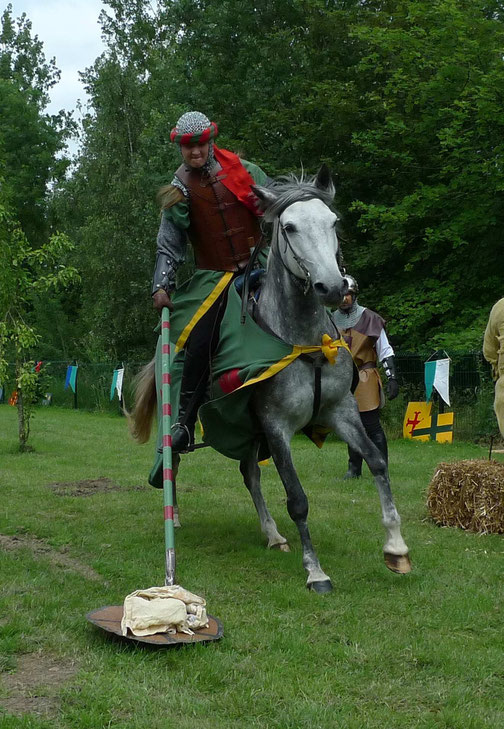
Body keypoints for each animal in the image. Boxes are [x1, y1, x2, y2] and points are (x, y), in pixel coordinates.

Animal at [132, 166, 412, 592]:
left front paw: (396, 547)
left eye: (333, 222)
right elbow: (297, 497)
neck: (304, 343)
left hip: (247, 429)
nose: (333, 287)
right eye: (290, 227)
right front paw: (315, 571)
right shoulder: (276, 425)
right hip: (185, 415)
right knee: (171, 461)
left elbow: (378, 461)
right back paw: (175, 516)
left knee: (250, 475)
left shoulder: (341, 412)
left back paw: (272, 534)